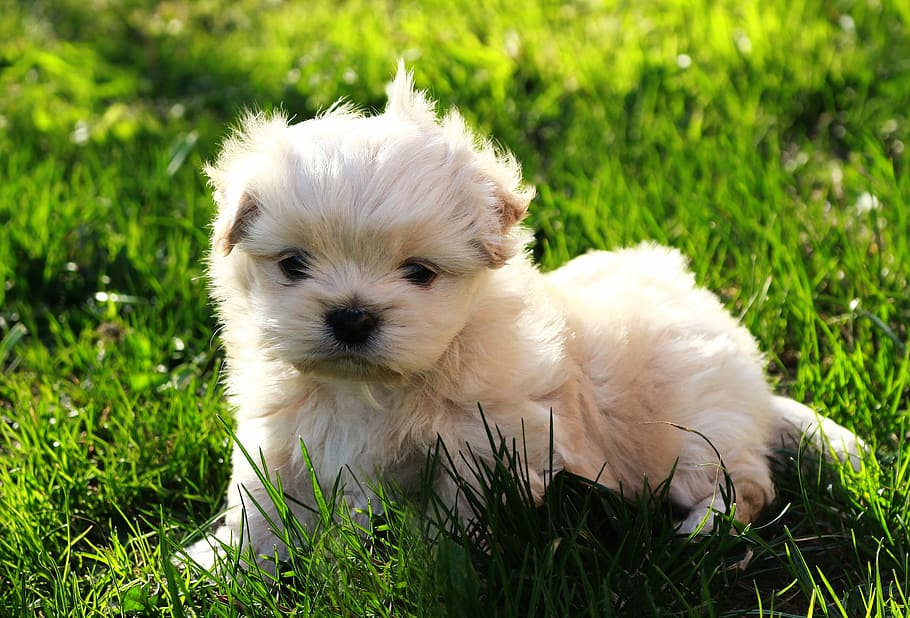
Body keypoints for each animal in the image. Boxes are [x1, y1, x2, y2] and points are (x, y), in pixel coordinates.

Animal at [183, 63, 864, 568]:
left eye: (420, 273)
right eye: (293, 264)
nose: (351, 318)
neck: (372, 387)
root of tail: (754, 384)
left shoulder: (479, 445)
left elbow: (451, 520)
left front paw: (434, 566)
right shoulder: (277, 436)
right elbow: (257, 507)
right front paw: (217, 566)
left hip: (693, 430)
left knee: (747, 483)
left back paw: (702, 528)